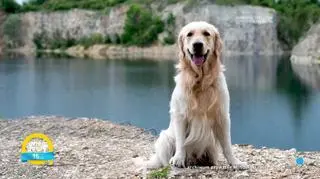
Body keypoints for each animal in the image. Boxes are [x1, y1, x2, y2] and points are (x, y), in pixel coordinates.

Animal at [135, 20, 248, 169]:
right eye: (189, 34)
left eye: (206, 33)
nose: (197, 44)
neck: (200, 80)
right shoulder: (180, 114)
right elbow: (181, 141)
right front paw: (178, 158)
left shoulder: (222, 115)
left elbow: (227, 145)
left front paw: (235, 162)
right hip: (165, 138)